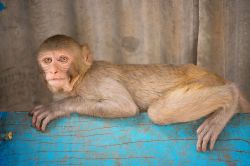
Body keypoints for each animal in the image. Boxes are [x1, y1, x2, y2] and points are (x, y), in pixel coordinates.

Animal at [29, 34, 250, 152]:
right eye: (48, 60)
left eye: (63, 59)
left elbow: (124, 106)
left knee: (159, 112)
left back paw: (231, 97)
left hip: (204, 81)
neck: (79, 79)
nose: (53, 71)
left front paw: (57, 107)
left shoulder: (96, 80)